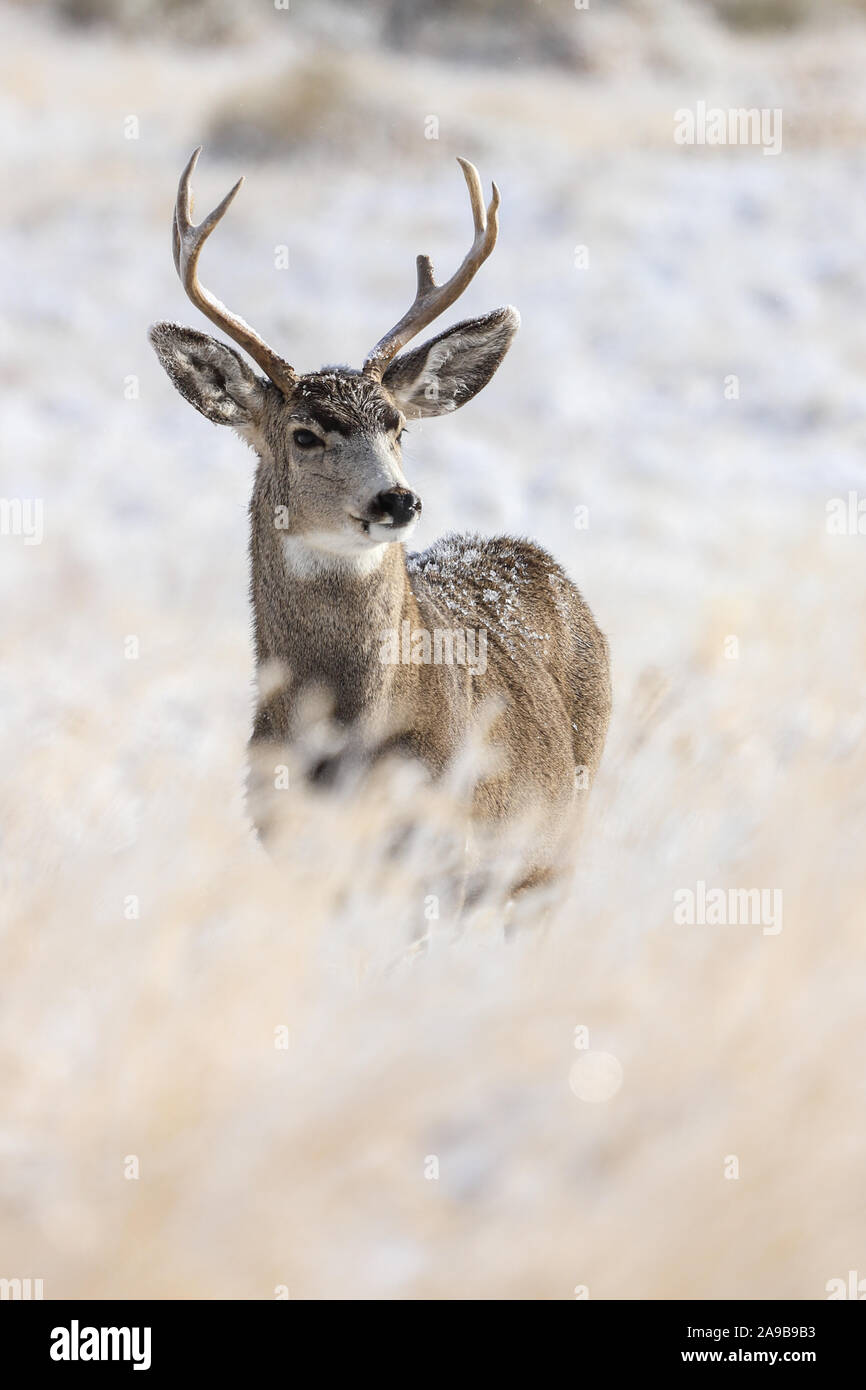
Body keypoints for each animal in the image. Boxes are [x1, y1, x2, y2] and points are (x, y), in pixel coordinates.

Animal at [149, 147, 611, 905]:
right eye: (304, 434)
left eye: (397, 426)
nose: (398, 500)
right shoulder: (291, 845)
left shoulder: (440, 845)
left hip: (553, 843)